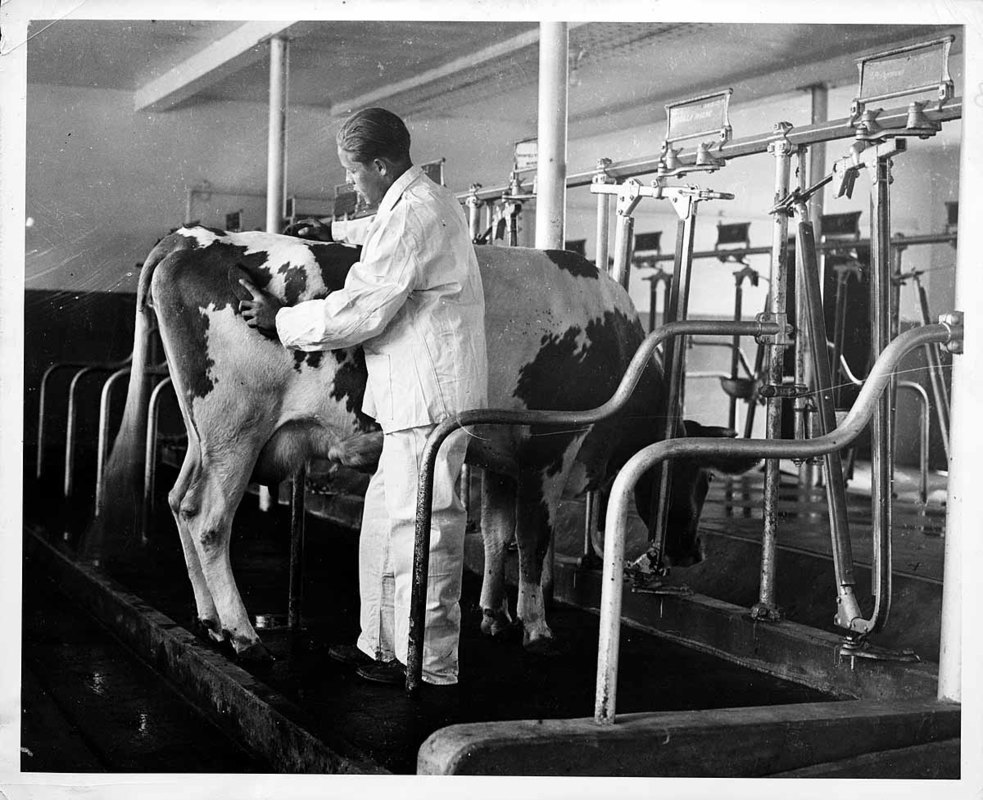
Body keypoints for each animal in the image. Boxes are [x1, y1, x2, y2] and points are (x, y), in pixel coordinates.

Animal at [100, 227, 744, 664]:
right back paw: (242, 633)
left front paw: (492, 615)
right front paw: (536, 628)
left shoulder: (501, 458)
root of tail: (198, 239)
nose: (692, 552)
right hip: (237, 427)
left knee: (180, 502)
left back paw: (209, 618)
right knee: (209, 520)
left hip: (203, 435)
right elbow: (534, 543)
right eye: (697, 478)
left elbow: (499, 536)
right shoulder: (548, 451)